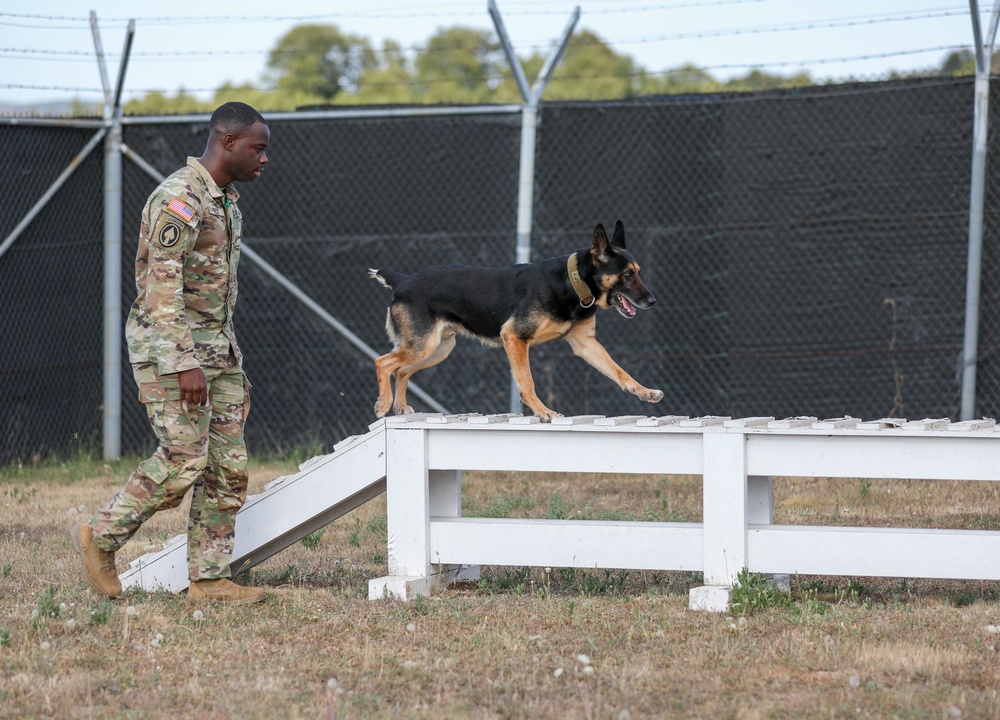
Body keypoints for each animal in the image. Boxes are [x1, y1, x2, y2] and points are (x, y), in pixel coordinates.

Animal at [370, 221, 664, 422]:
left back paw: (400, 407)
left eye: (638, 272)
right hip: (424, 346)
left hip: (438, 349)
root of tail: (403, 280)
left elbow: (619, 371)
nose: (653, 301)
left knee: (401, 370)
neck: (572, 282)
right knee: (384, 362)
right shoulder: (515, 338)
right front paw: (543, 411)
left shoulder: (586, 344)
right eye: (627, 275)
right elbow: (528, 381)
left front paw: (645, 392)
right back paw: (383, 404)